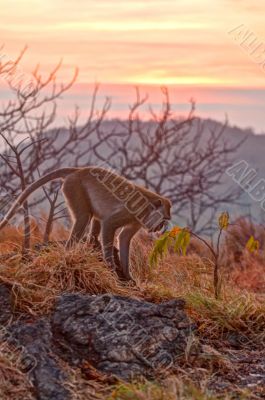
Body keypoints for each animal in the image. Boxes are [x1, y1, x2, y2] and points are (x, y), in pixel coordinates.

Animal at [0, 166, 171, 282]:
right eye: (164, 220)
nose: (160, 228)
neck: (148, 205)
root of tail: (78, 170)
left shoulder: (136, 220)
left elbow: (124, 237)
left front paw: (128, 275)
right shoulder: (131, 211)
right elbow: (109, 224)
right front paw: (111, 269)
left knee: (93, 216)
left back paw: (90, 243)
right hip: (74, 187)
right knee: (84, 217)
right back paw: (67, 257)